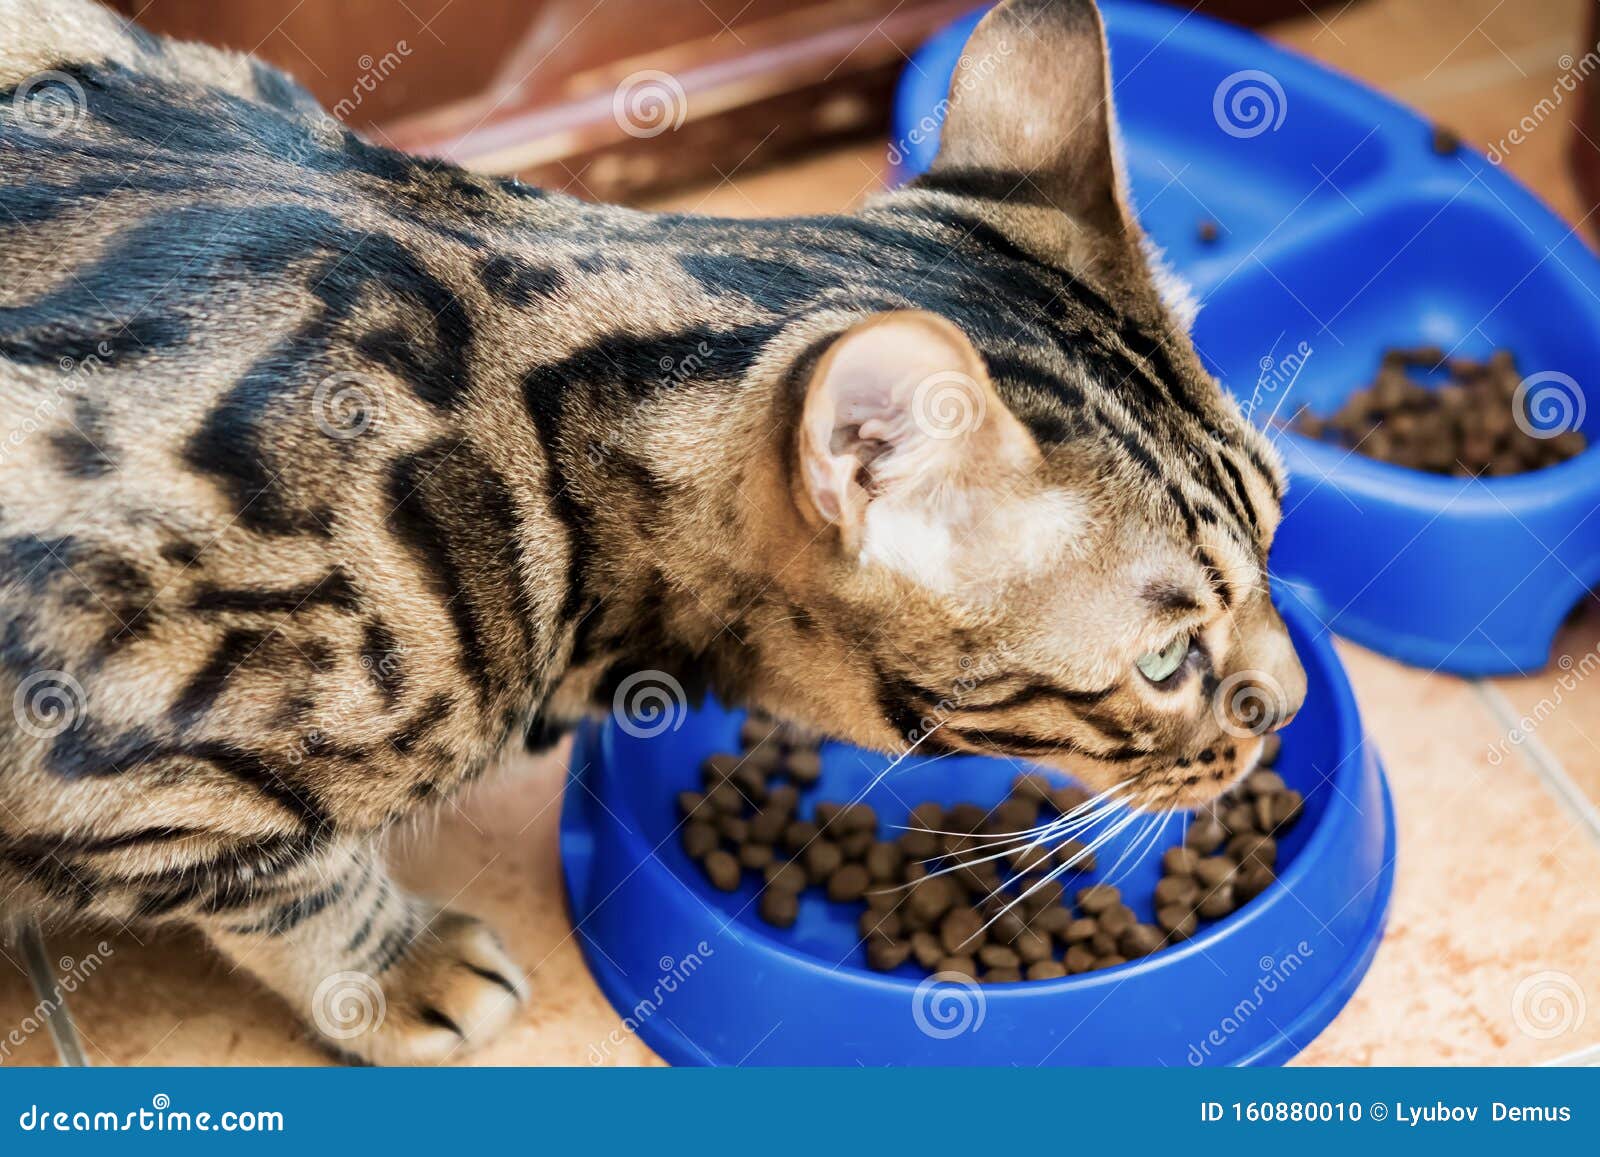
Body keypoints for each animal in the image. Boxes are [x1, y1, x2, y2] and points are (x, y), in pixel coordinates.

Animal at [0, 0, 1299, 1062]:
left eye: (1278, 534)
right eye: (1165, 660)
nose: (1283, 703)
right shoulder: (138, 767)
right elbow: (298, 886)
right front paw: (400, 968)